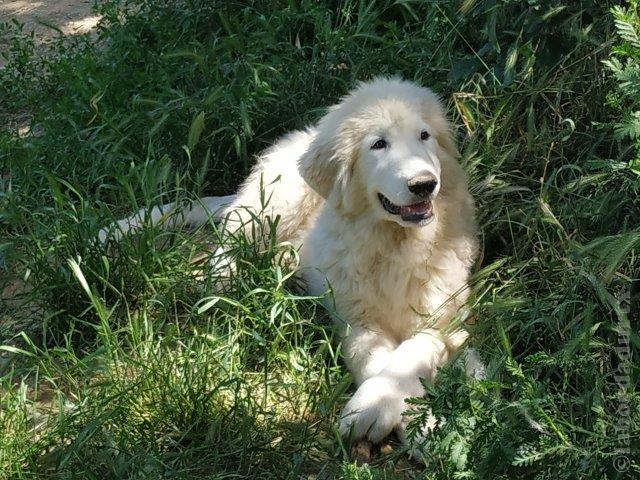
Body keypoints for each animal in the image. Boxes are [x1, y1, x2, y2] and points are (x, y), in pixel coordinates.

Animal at [101, 78, 480, 454]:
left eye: (424, 136)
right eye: (378, 144)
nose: (424, 184)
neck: (396, 243)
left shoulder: (446, 319)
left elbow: (414, 352)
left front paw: (424, 422)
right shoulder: (356, 323)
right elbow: (377, 362)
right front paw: (391, 414)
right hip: (276, 203)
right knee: (231, 235)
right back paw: (223, 280)